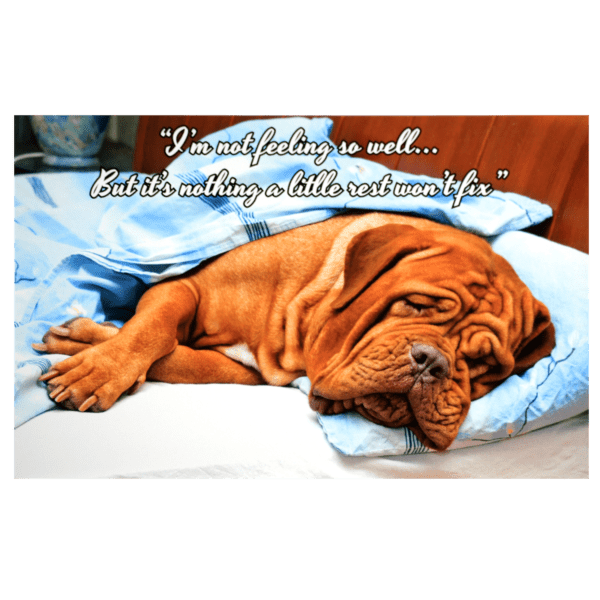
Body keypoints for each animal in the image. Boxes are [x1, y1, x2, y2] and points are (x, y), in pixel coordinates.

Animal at [35, 211, 556, 450]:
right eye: (416, 304)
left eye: (485, 362)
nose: (433, 362)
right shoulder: (184, 284)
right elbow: (152, 329)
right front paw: (98, 365)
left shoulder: (248, 371)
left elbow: (184, 361)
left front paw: (85, 341)